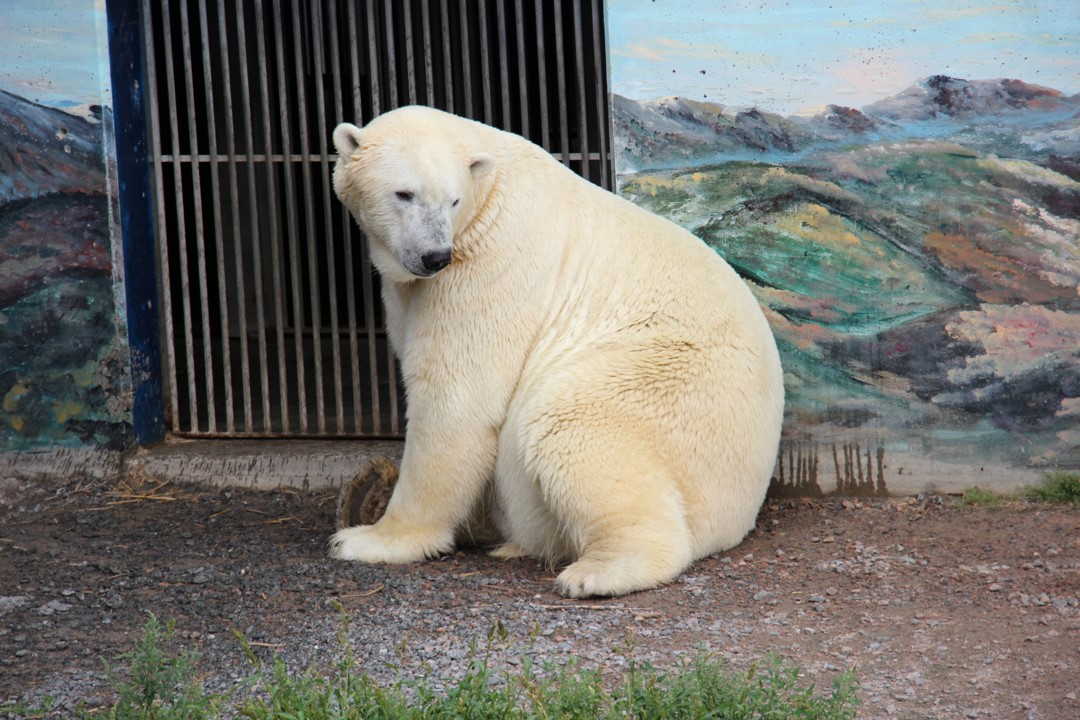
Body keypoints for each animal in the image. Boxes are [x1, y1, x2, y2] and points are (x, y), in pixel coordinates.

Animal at [328, 106, 786, 600]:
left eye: (452, 200)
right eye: (404, 193)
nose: (435, 255)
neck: (491, 188)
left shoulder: (490, 262)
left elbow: (457, 397)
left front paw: (370, 539)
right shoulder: (413, 286)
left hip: (664, 384)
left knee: (571, 424)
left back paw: (597, 571)